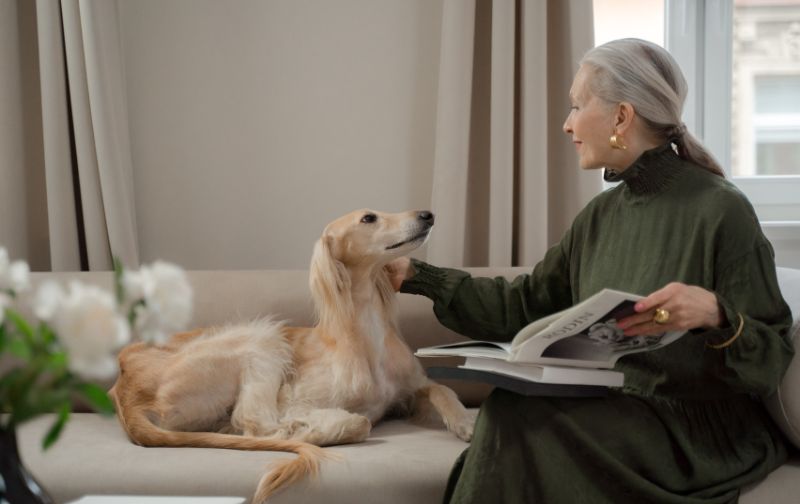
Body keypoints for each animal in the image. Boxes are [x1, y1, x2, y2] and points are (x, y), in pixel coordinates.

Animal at [109, 210, 472, 504]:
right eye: (369, 218)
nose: (427, 215)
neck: (366, 333)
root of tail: (124, 390)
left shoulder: (412, 387)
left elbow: (443, 389)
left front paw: (465, 422)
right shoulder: (295, 400)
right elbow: (359, 421)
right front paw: (319, 425)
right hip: (261, 338)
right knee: (256, 424)